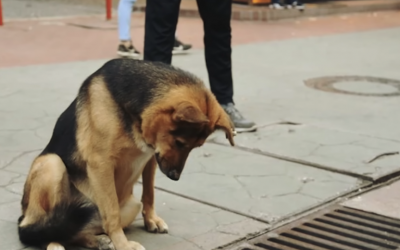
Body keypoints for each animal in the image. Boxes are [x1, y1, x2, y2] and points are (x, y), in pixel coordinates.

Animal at [18, 59, 236, 250]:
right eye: (180, 143)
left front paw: (151, 220)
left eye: (195, 147)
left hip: (130, 206)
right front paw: (123, 245)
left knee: (76, 231)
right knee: (40, 230)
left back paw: (97, 240)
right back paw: (54, 243)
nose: (174, 177)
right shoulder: (101, 164)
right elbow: (112, 213)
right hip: (52, 164)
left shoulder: (152, 157)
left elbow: (149, 193)